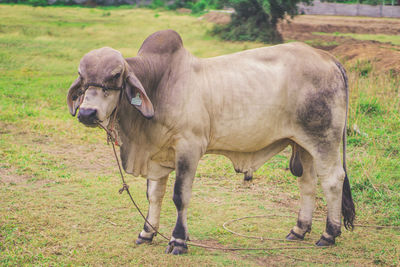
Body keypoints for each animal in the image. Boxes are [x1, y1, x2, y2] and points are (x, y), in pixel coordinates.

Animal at [67, 29, 354, 255]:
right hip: (302, 143)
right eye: (82, 78)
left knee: (332, 179)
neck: (160, 84)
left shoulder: (189, 148)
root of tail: (328, 58)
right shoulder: (157, 155)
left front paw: (178, 240)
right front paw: (147, 233)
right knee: (307, 183)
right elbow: (154, 195)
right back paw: (299, 230)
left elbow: (179, 196)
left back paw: (329, 234)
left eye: (115, 75)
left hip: (323, 138)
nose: (87, 113)